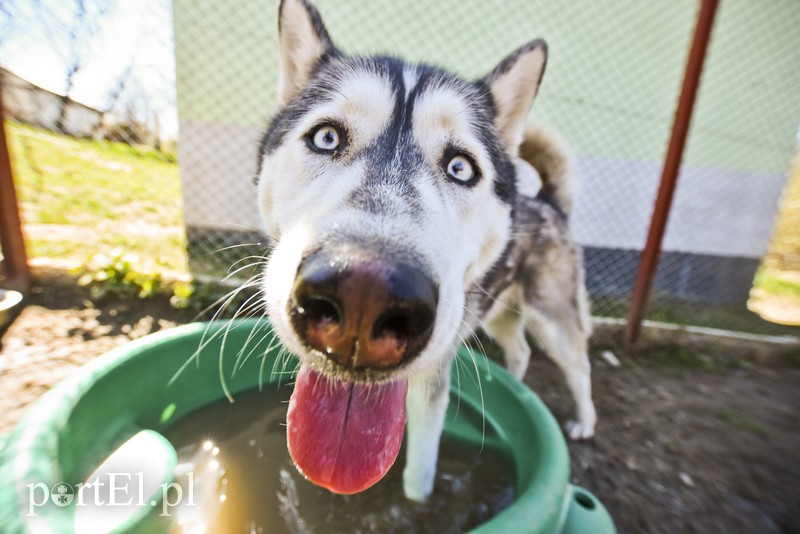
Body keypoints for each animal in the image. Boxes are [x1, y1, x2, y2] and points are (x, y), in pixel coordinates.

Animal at [256, 0, 592, 502]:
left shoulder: (431, 385)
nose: (364, 297)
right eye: (326, 138)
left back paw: (585, 421)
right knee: (520, 350)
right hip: (498, 314)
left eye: (460, 168)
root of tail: (549, 203)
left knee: (579, 368)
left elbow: (419, 471)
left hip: (551, 318)